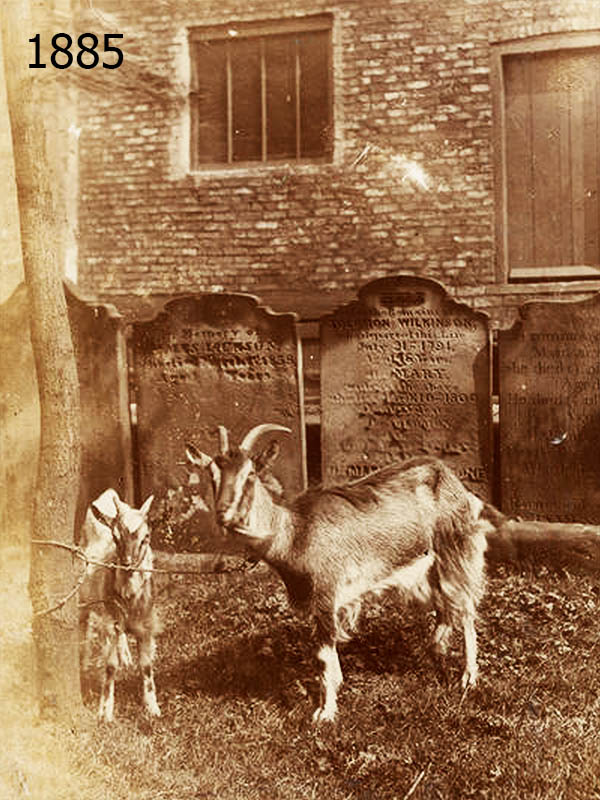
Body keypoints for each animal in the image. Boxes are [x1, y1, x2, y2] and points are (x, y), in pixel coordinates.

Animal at [78, 488, 161, 724]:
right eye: (116, 537)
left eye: (146, 538)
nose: (127, 564)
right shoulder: (109, 623)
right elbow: (110, 666)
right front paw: (105, 712)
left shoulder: (146, 625)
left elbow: (147, 666)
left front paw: (152, 708)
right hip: (83, 595)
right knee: (83, 627)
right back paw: (83, 665)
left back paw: (125, 655)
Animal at [188, 424, 492, 724]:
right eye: (212, 474)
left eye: (250, 474)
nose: (224, 515)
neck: (295, 533)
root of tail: (450, 478)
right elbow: (328, 656)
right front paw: (334, 691)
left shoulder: (325, 594)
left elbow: (323, 656)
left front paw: (325, 713)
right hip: (427, 569)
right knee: (446, 608)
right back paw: (438, 655)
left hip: (457, 550)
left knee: (465, 609)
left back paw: (468, 677)